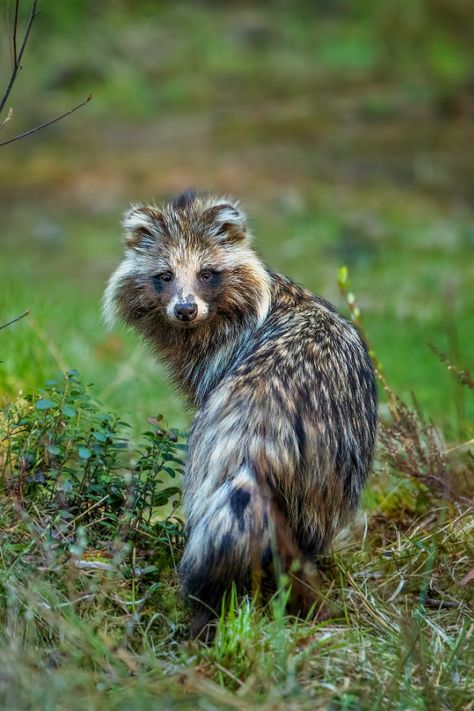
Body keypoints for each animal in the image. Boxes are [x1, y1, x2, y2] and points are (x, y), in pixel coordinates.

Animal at [103, 192, 378, 636]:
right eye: (164, 275)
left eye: (207, 273)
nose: (185, 309)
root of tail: (258, 432)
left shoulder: (217, 361)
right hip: (323, 465)